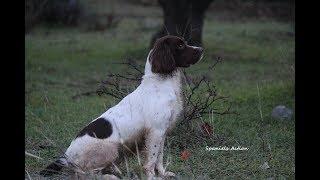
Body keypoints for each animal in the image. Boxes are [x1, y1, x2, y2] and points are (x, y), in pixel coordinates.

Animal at [41, 34, 204, 179]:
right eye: (180, 45)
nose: (201, 49)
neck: (160, 83)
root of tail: (66, 157)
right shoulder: (156, 131)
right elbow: (151, 160)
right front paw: (152, 176)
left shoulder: (162, 132)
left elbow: (159, 157)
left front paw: (163, 174)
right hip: (111, 149)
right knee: (85, 173)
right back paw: (110, 176)